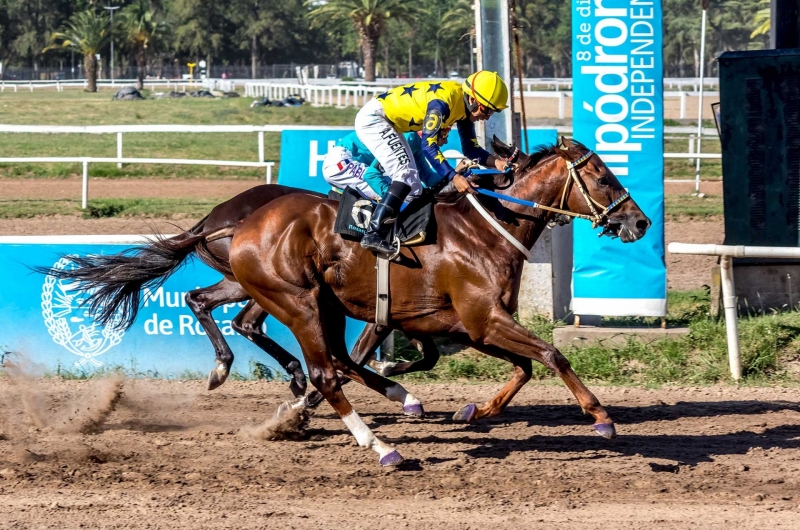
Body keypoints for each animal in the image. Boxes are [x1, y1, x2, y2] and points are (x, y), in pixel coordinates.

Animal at [228, 136, 652, 462]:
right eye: (602, 177)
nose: (641, 221)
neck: (488, 229)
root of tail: (243, 226)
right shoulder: (485, 318)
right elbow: (552, 354)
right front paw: (601, 416)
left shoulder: (469, 325)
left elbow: (524, 367)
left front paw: (473, 410)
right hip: (297, 304)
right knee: (325, 373)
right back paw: (381, 447)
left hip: (328, 307)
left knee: (342, 360)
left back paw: (399, 398)